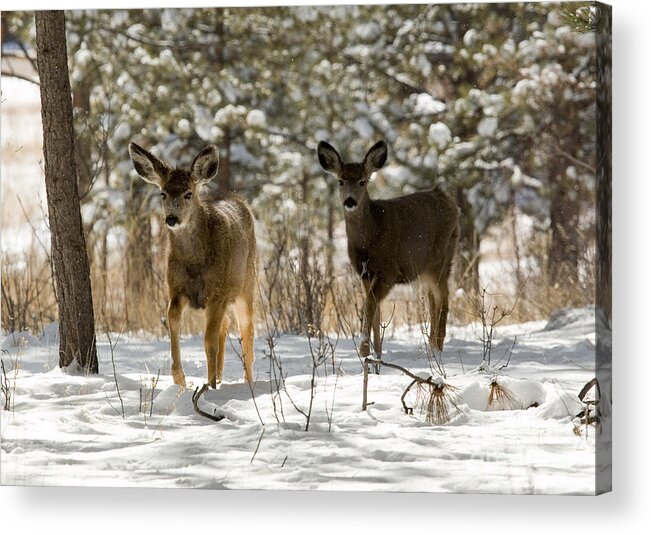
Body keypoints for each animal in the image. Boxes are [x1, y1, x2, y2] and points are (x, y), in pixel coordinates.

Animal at [129, 142, 258, 386]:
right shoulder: (176, 289)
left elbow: (209, 341)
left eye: (188, 193)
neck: (195, 263)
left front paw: (210, 386)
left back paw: (247, 381)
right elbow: (172, 323)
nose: (171, 218)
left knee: (246, 328)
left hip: (245, 285)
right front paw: (180, 378)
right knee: (226, 324)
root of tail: (240, 200)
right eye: (163, 193)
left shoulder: (217, 292)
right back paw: (220, 375)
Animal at [318, 140, 458, 358]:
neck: (367, 241)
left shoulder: (390, 271)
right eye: (341, 181)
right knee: (433, 298)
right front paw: (377, 352)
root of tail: (449, 200)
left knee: (443, 297)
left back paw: (438, 348)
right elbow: (374, 308)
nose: (350, 201)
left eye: (362, 181)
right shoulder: (365, 273)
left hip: (440, 258)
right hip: (426, 268)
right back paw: (431, 345)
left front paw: (365, 351)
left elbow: (370, 303)